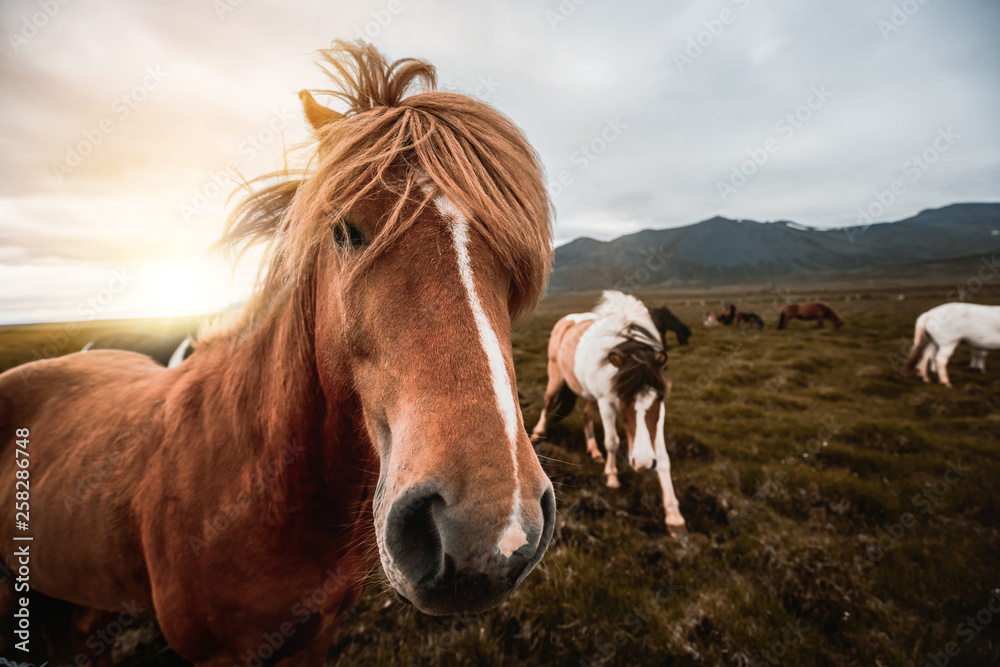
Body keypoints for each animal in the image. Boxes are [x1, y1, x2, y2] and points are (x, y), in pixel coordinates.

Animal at [528, 290, 684, 536]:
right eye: (623, 398)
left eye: (659, 397)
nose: (642, 463)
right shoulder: (606, 402)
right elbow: (612, 441)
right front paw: (612, 477)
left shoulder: (659, 413)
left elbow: (663, 457)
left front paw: (674, 515)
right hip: (556, 378)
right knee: (548, 402)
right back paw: (538, 433)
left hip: (588, 393)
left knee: (586, 414)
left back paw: (593, 450)